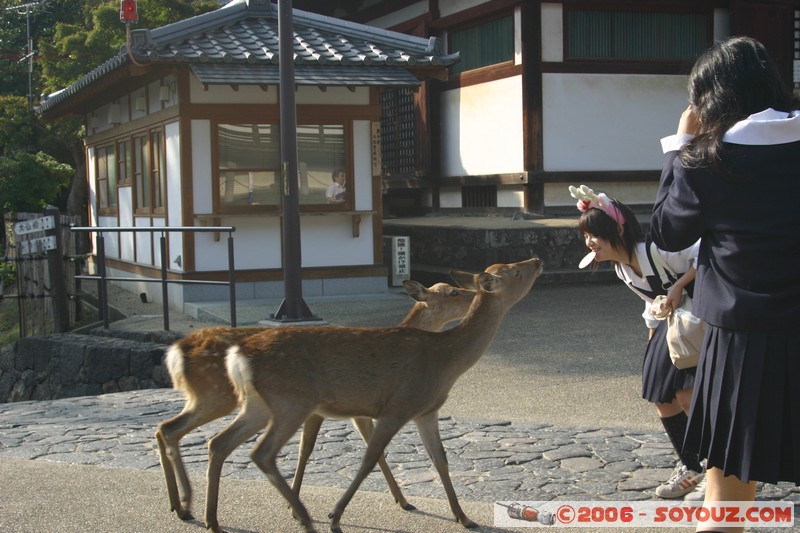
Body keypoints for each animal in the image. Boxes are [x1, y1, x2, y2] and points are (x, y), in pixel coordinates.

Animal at [153, 278, 476, 524]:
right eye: (453, 292)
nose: (475, 295)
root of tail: (176, 351)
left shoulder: (349, 411)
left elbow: (366, 450)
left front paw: (403, 501)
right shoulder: (336, 410)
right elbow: (310, 450)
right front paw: (295, 508)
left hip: (210, 399)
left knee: (168, 429)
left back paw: (181, 505)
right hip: (218, 396)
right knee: (176, 431)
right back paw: (188, 505)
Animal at [219, 256, 544, 532]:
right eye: (516, 271)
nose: (537, 260)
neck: (444, 361)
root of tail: (237, 355)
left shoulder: (426, 411)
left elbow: (440, 458)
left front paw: (464, 517)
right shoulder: (397, 407)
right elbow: (369, 458)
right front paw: (335, 516)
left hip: (261, 406)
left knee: (222, 442)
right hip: (290, 403)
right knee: (265, 451)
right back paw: (299, 515)